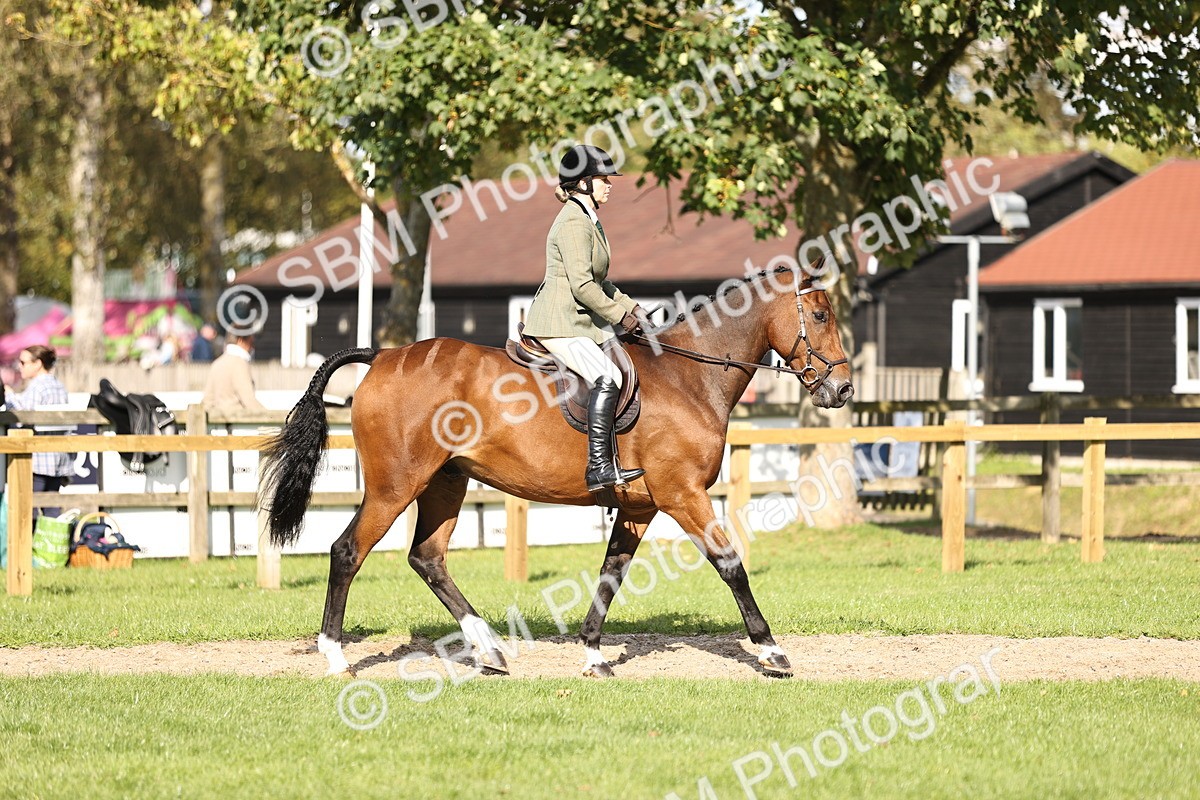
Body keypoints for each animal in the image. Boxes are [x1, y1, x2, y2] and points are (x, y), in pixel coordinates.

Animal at [260, 263, 853, 678]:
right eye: (822, 316)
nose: (843, 389)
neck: (688, 377)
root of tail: (383, 355)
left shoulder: (640, 507)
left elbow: (610, 576)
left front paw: (593, 655)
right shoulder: (683, 494)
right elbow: (731, 565)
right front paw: (771, 651)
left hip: (446, 482)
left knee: (427, 558)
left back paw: (490, 650)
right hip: (394, 486)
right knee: (347, 552)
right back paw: (336, 656)